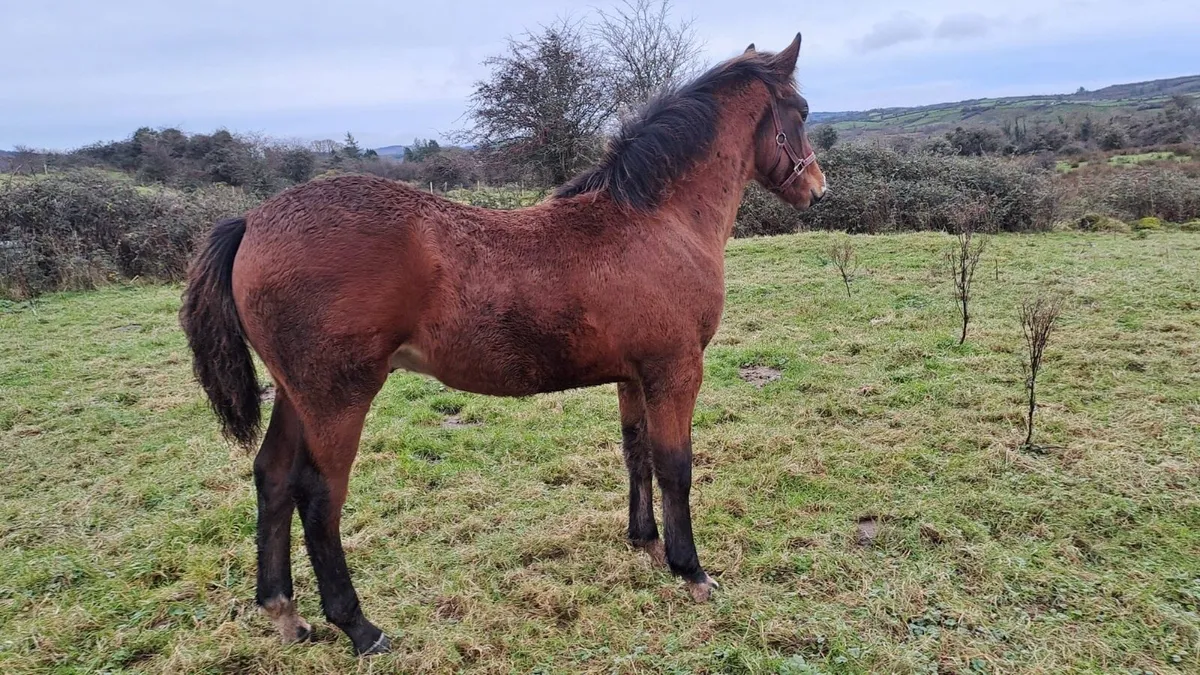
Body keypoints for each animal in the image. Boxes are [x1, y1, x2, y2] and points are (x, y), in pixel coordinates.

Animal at [179, 33, 825, 655]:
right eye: (799, 111)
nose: (817, 190)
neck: (656, 221)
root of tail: (251, 222)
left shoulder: (633, 375)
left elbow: (636, 452)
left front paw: (644, 543)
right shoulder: (676, 369)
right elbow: (675, 466)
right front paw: (690, 571)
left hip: (295, 395)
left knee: (272, 477)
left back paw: (284, 613)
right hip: (337, 398)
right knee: (317, 496)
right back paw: (360, 628)